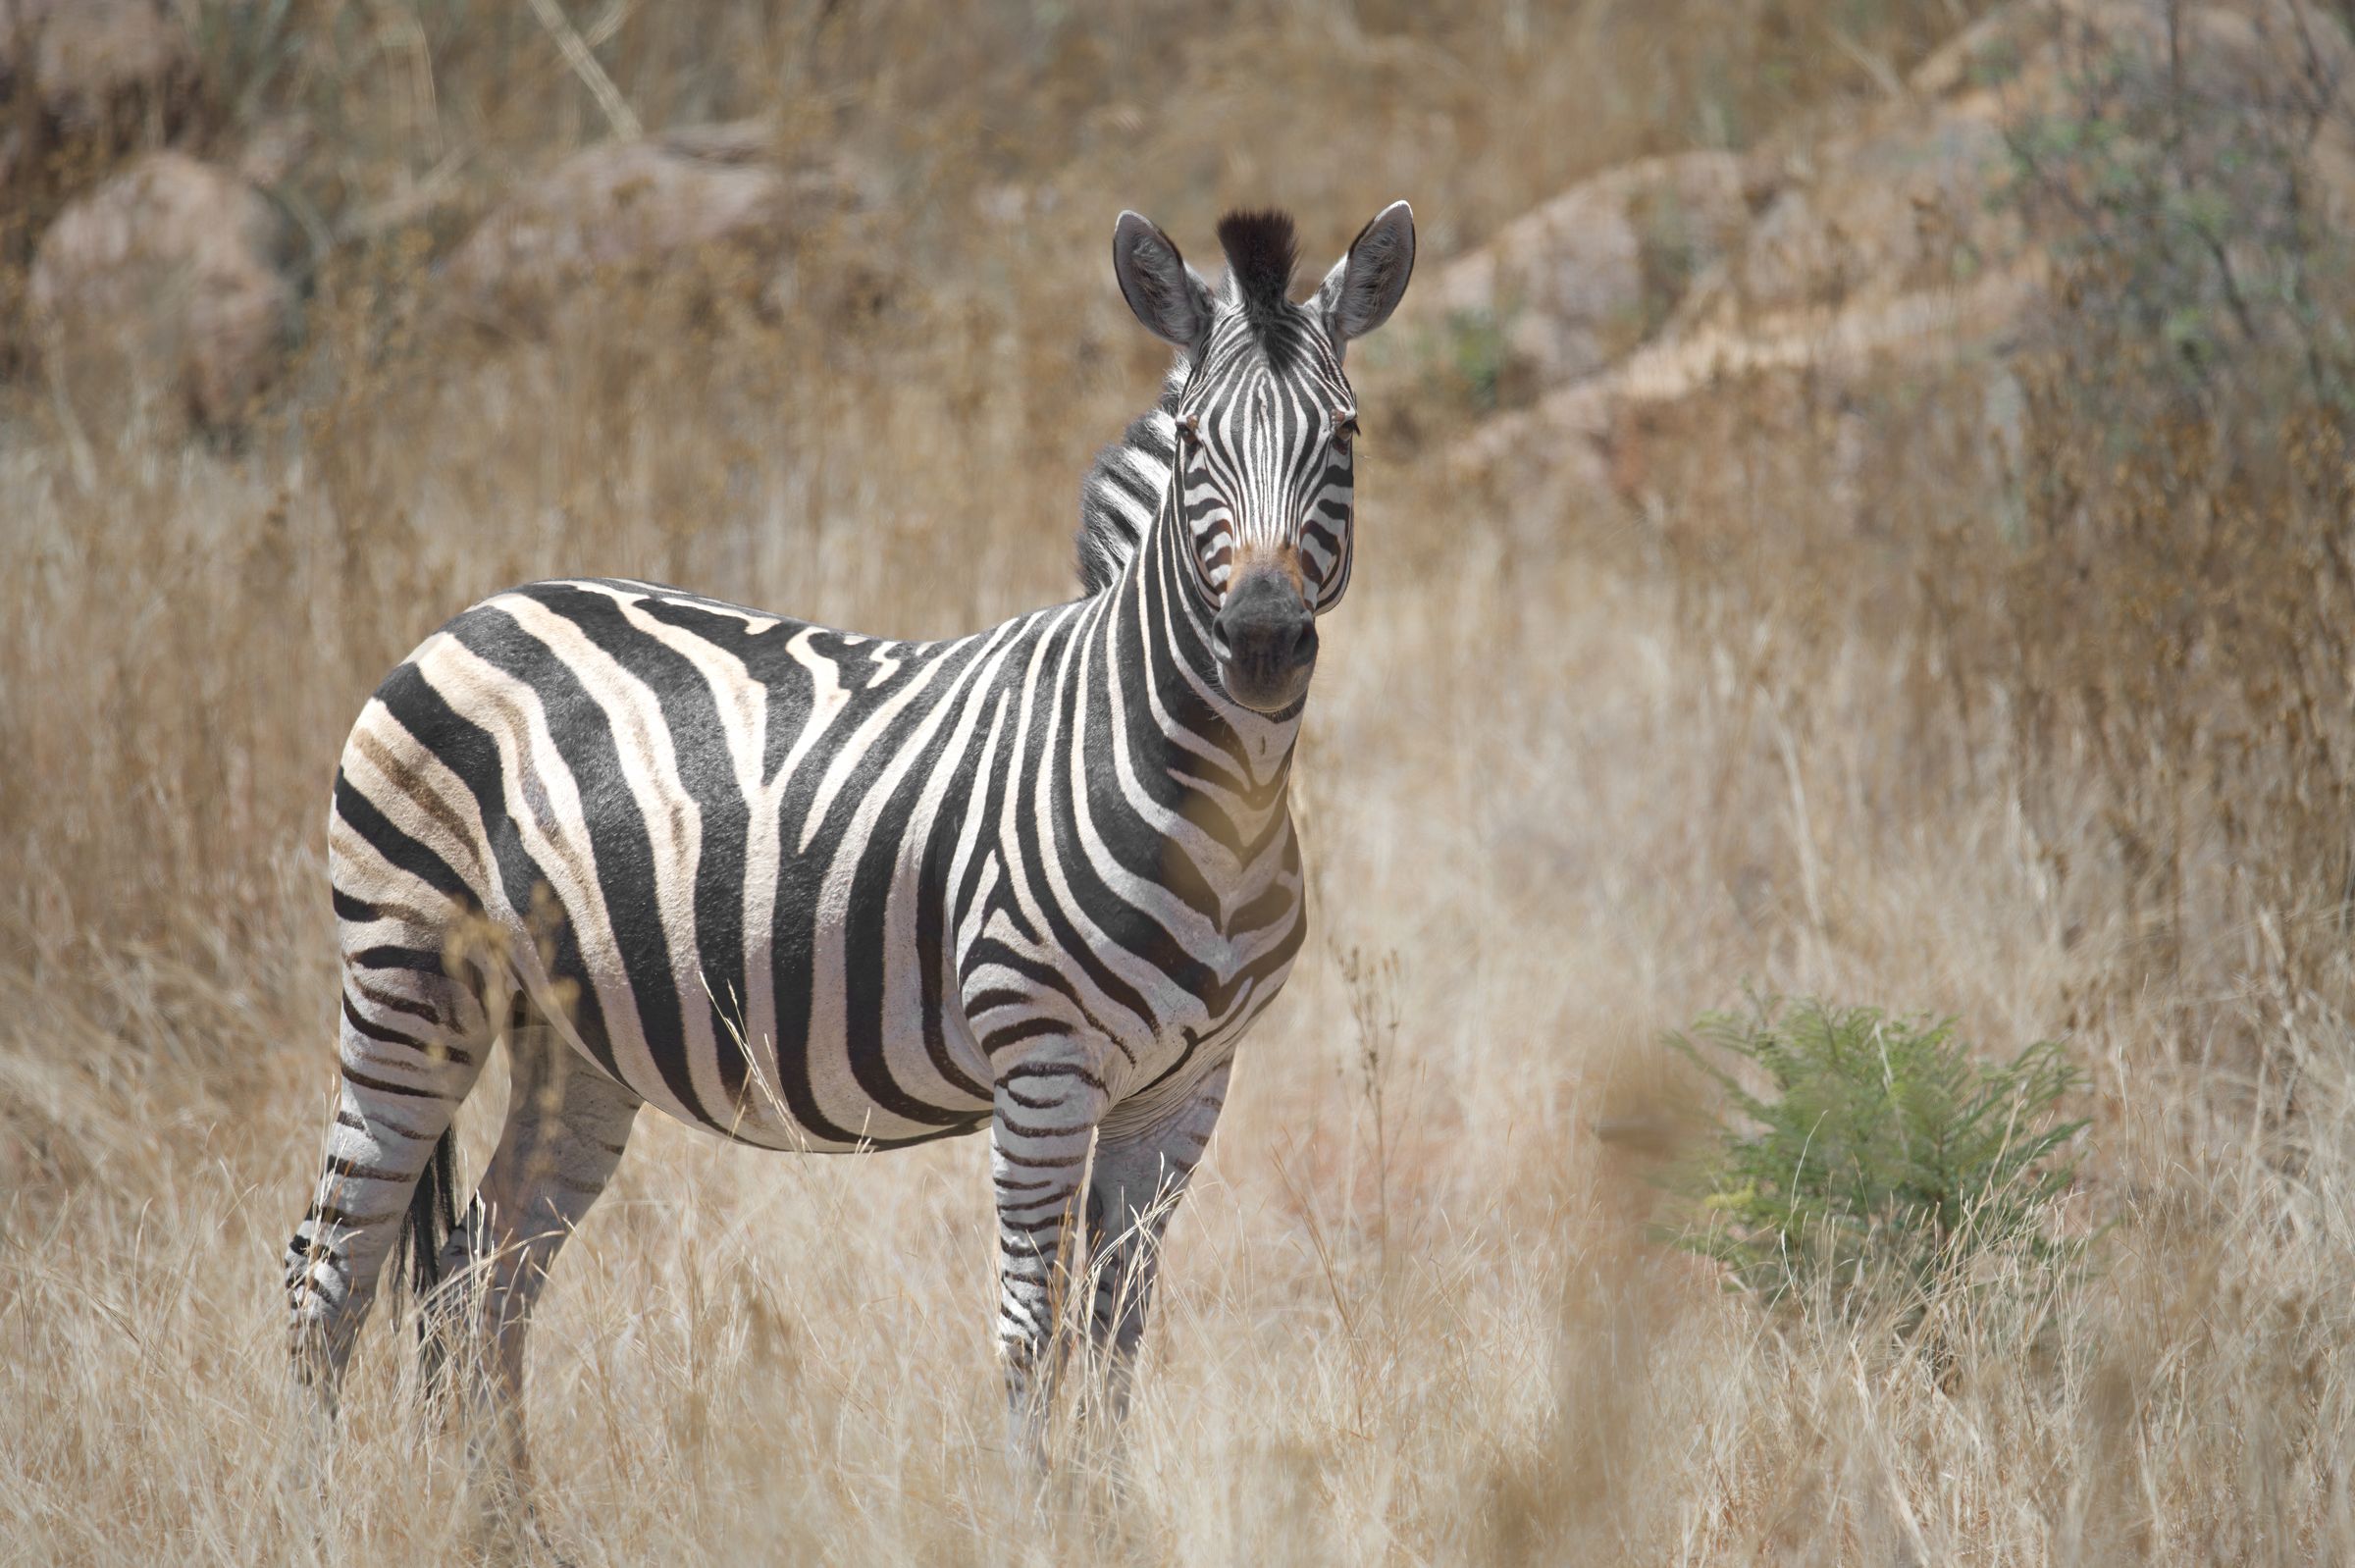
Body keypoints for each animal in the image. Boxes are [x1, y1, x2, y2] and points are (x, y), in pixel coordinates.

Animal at [275, 198, 1413, 1478]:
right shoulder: (1040, 1063)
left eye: (1347, 436)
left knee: (477, 1278)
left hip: (575, 1040)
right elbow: (1033, 1330)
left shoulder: (1185, 1089)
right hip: (408, 980)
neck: (1208, 800)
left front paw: (1109, 1506)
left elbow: (1118, 1330)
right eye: (1194, 446)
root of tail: (468, 615)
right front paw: (1037, 1510)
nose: (1262, 640)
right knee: (329, 1276)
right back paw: (316, 1508)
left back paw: (504, 1514)